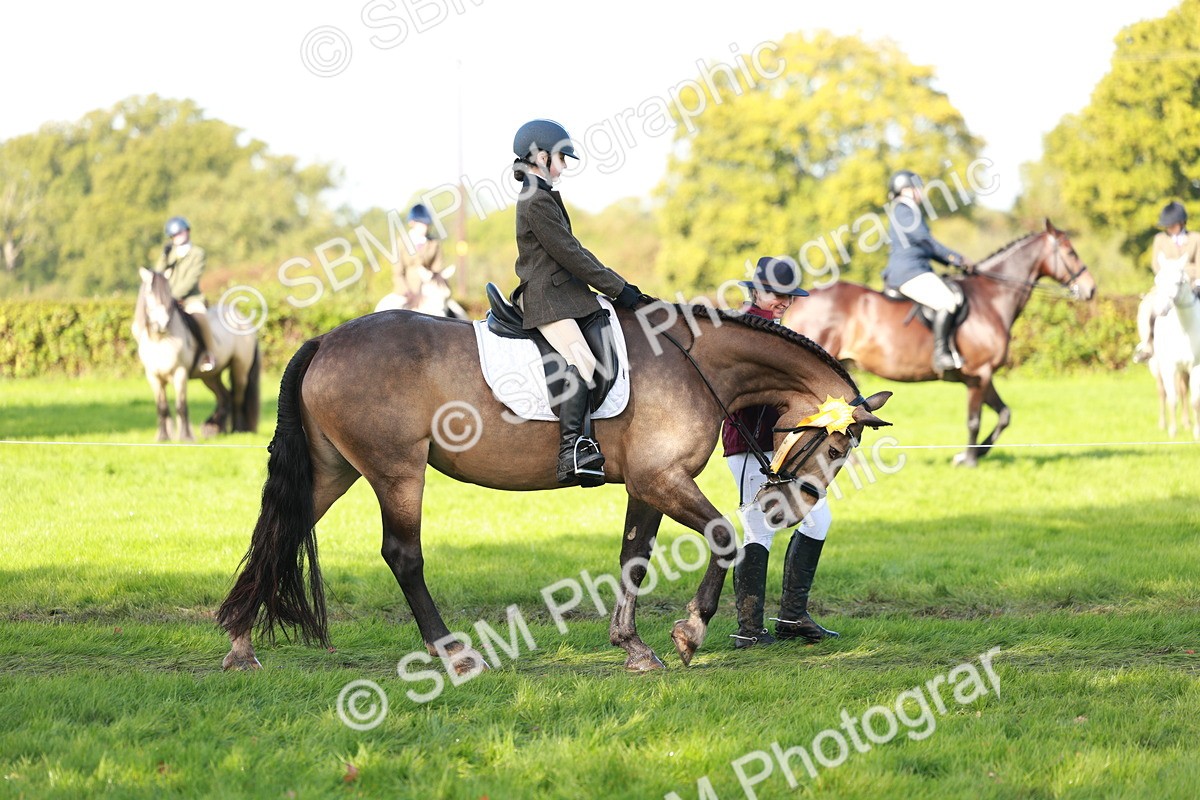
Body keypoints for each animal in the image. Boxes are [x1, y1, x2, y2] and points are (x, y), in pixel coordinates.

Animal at [132, 268, 261, 441]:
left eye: (168, 292)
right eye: (148, 293)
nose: (162, 324)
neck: (160, 339)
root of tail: (243, 319)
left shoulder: (180, 373)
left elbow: (181, 406)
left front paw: (186, 437)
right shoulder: (154, 377)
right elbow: (162, 407)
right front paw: (163, 437)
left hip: (239, 369)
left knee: (237, 398)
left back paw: (237, 430)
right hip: (210, 377)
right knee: (224, 397)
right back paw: (215, 428)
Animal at [216, 301, 892, 674]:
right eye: (837, 448)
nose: (791, 508)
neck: (695, 362)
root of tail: (327, 337)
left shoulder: (647, 485)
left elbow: (632, 559)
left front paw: (632, 647)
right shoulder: (663, 478)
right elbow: (724, 536)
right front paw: (689, 634)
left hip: (334, 469)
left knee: (280, 534)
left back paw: (241, 644)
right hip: (396, 471)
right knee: (402, 555)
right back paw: (451, 651)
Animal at [783, 220, 1096, 467]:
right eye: (1070, 251)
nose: (1091, 289)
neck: (991, 299)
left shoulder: (981, 377)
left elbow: (1004, 415)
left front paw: (973, 454)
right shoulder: (979, 375)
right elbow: (974, 420)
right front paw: (968, 460)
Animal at [1146, 259, 1200, 439]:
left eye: (1179, 282)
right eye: (1157, 280)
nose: (1159, 310)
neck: (1184, 329)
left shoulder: (1195, 367)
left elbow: (1195, 400)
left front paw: (1196, 432)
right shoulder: (1169, 368)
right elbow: (1172, 398)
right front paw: (1172, 431)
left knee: (1183, 390)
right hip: (1157, 366)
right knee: (1163, 392)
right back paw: (1164, 424)